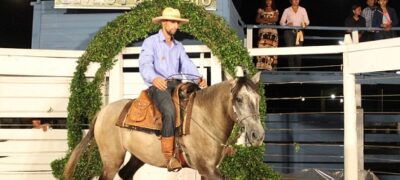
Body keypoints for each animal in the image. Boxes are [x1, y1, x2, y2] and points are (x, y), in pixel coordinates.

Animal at [63, 71, 266, 179]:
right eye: (239, 99)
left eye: (258, 98)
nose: (258, 135)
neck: (206, 117)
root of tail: (103, 112)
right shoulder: (208, 170)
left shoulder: (207, 170)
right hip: (111, 160)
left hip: (137, 156)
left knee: (126, 173)